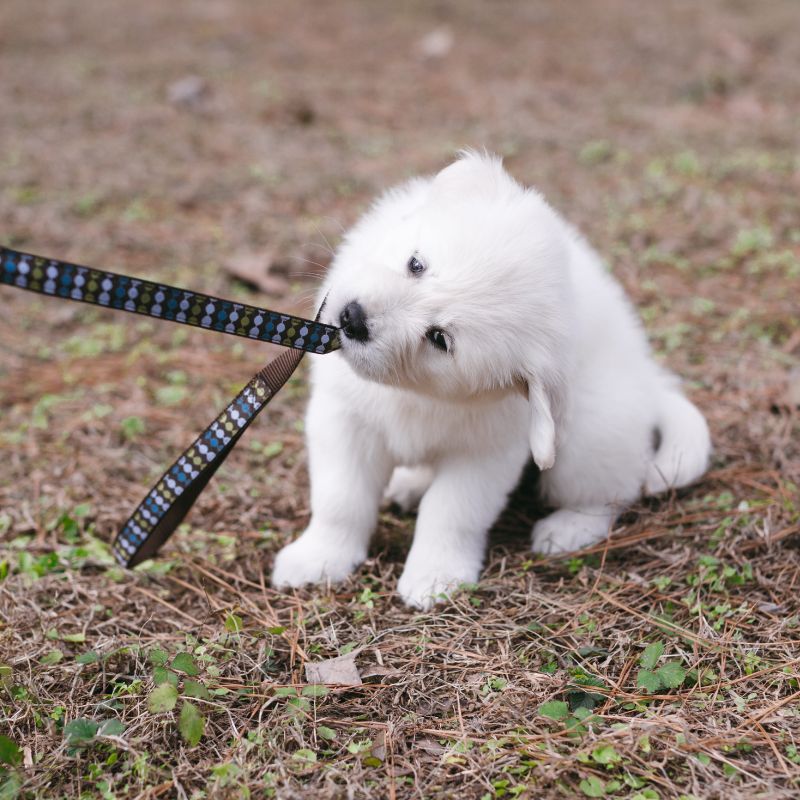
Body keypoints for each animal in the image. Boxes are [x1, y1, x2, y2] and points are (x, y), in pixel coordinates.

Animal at [272, 153, 708, 608]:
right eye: (416, 264)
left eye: (439, 339)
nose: (352, 318)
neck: (413, 391)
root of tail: (651, 383)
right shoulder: (343, 420)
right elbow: (340, 499)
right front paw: (320, 557)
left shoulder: (486, 453)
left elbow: (450, 513)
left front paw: (436, 574)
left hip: (591, 436)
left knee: (612, 492)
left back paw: (568, 529)